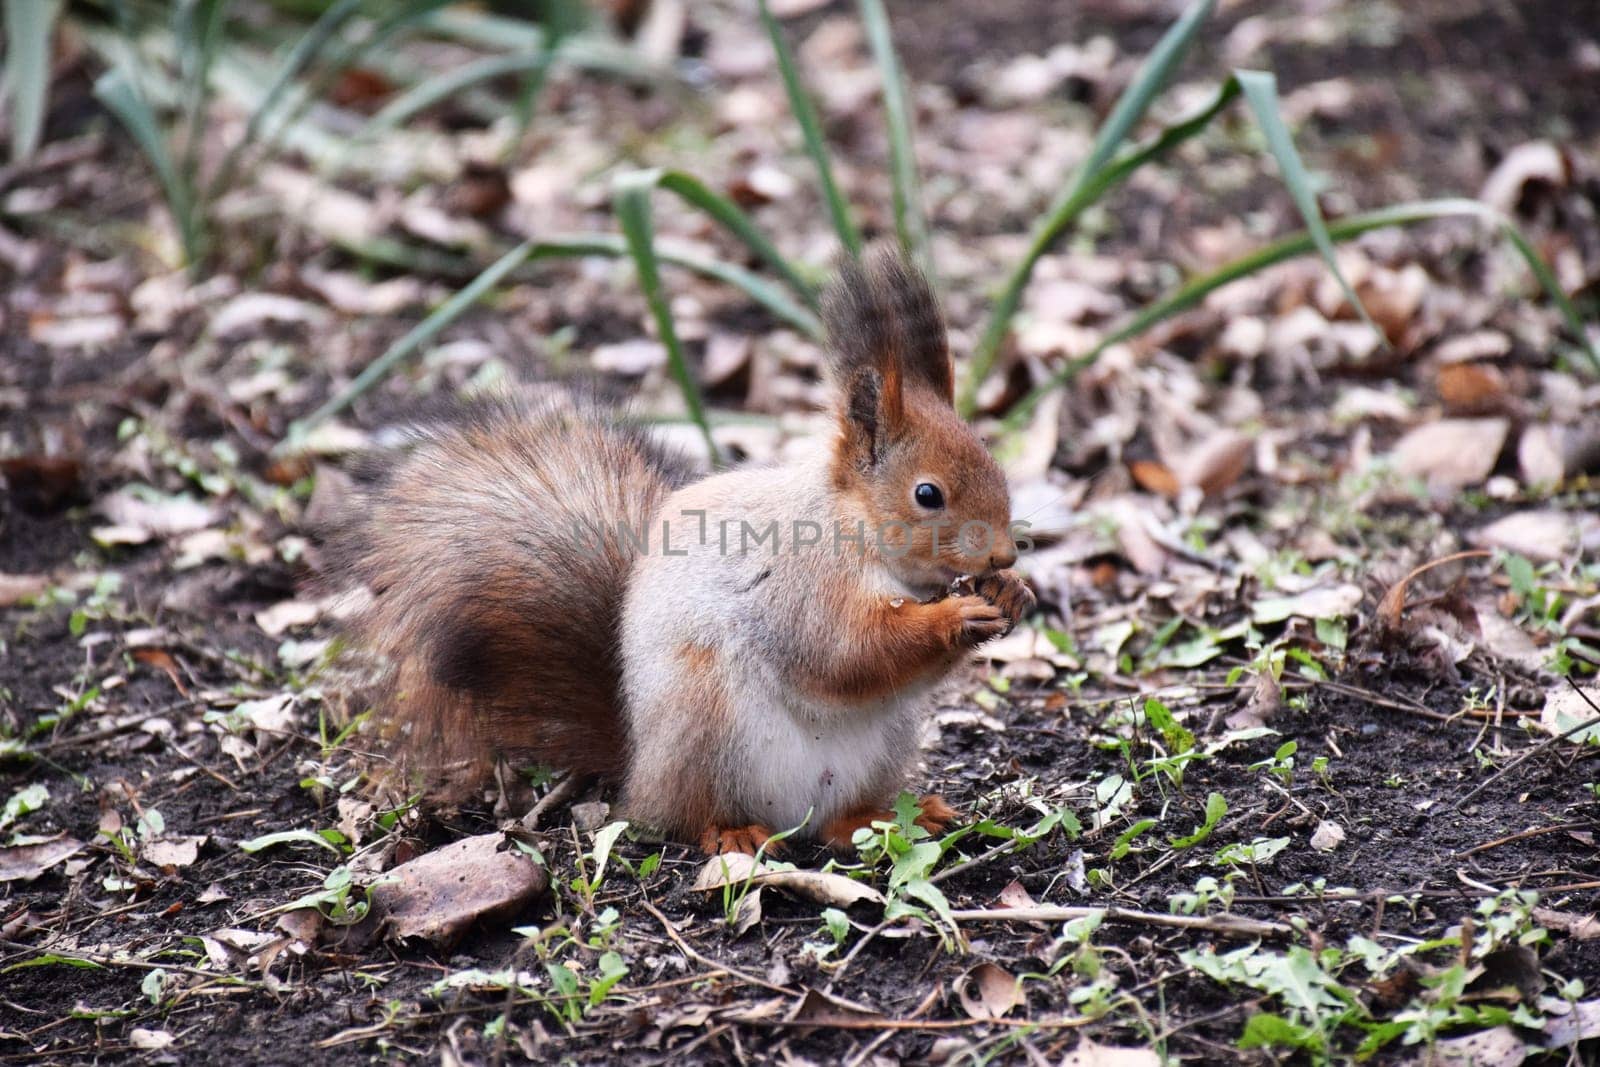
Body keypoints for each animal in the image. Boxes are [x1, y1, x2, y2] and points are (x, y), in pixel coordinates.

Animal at [339, 246, 1036, 857]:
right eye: (927, 494)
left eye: (995, 463)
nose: (1003, 558)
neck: (856, 532)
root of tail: (640, 771)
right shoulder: (801, 584)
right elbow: (844, 652)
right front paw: (956, 615)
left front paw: (1011, 596)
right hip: (705, 719)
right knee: (687, 817)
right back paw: (732, 833)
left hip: (880, 746)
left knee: (838, 820)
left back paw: (888, 815)